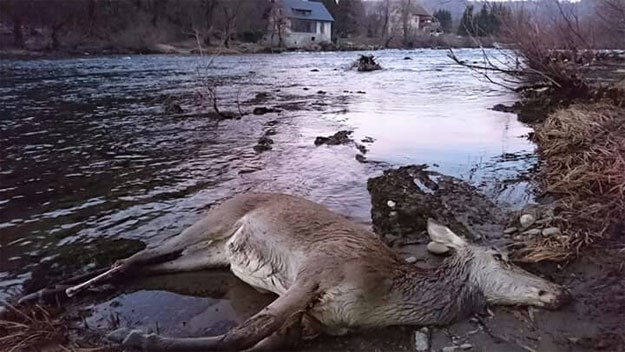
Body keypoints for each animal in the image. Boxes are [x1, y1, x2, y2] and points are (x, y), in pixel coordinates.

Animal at [61, 194, 568, 350]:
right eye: (501, 256)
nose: (559, 291)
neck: (381, 299)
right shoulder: (317, 273)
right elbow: (239, 336)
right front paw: (133, 337)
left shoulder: (317, 324)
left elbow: (258, 338)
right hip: (217, 217)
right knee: (140, 254)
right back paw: (67, 290)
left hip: (219, 253)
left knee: (154, 264)